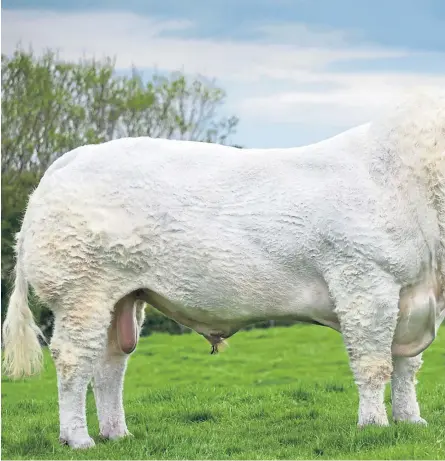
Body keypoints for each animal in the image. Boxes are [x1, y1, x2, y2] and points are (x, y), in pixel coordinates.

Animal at [3, 89, 444, 446]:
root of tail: (73, 158)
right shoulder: (364, 280)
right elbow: (373, 362)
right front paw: (375, 426)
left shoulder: (412, 298)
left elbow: (407, 365)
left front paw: (410, 420)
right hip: (82, 292)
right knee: (73, 359)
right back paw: (78, 439)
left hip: (123, 295)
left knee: (110, 363)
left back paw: (117, 434)